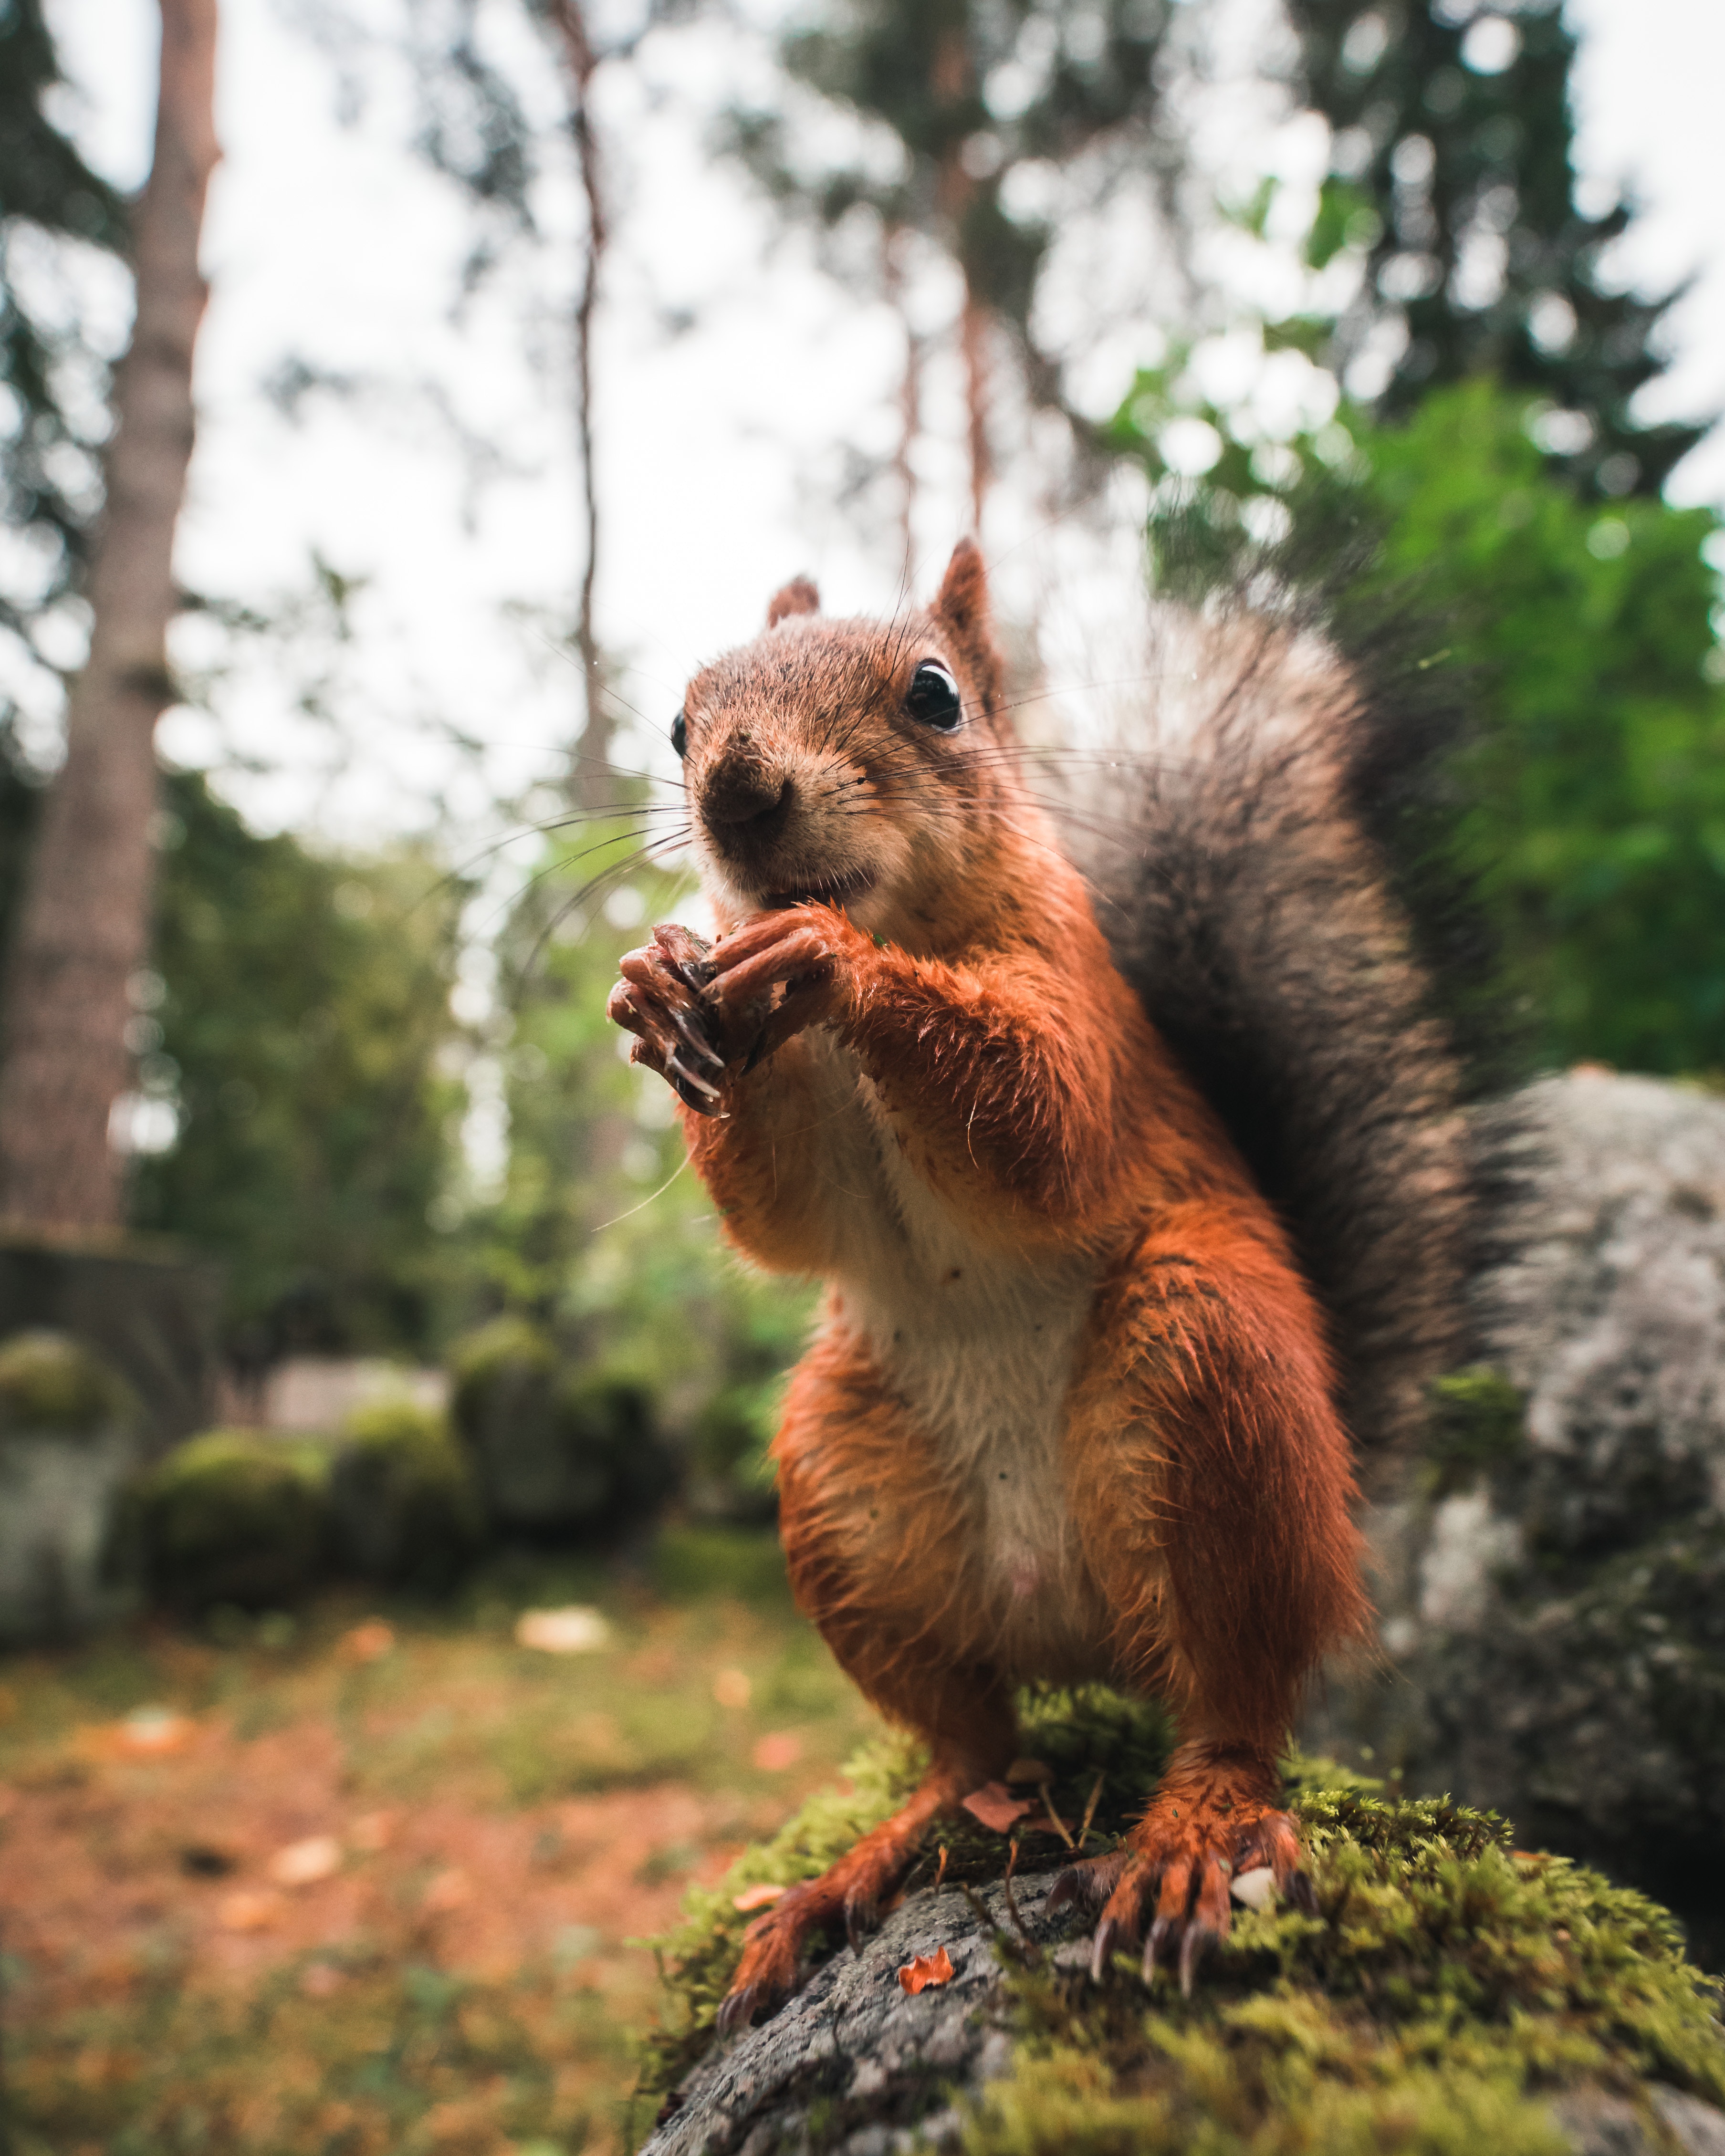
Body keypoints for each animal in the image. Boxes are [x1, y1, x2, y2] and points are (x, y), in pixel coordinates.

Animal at [608, 534, 1466, 2018]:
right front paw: (658, 982)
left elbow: (1040, 1110)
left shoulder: (1075, 996)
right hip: (843, 1482)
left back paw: (1191, 1833)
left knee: (1234, 1707)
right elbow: (783, 1210)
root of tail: (1075, 1625)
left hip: (1206, 1364)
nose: (735, 792)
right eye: (676, 723)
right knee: (973, 1751)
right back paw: (852, 1870)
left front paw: (837, 962)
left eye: (934, 696)